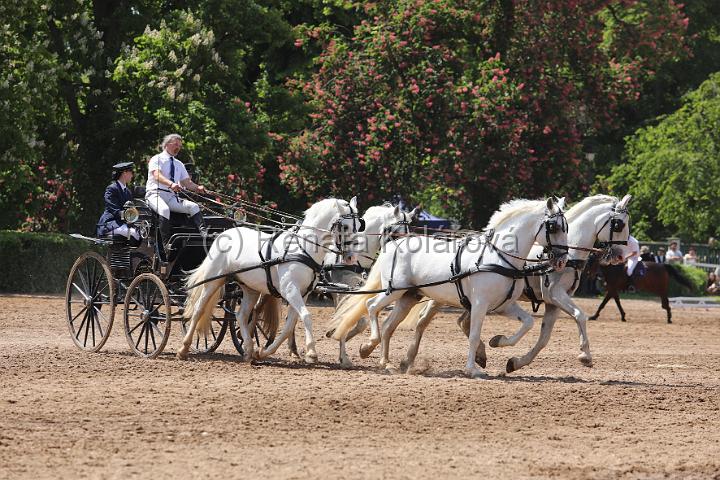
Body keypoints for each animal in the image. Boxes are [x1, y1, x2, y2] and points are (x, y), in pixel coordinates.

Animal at [180, 197, 360, 362]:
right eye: (345, 226)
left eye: (359, 225)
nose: (351, 257)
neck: (302, 248)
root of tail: (224, 233)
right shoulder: (290, 290)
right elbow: (306, 317)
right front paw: (311, 353)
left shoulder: (303, 294)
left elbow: (289, 326)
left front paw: (263, 352)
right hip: (213, 280)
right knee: (199, 309)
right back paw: (184, 348)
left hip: (250, 289)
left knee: (241, 316)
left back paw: (249, 350)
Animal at [332, 197, 568, 376]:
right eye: (554, 227)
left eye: (566, 227)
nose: (562, 260)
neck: (498, 256)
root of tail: (394, 244)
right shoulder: (480, 305)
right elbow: (474, 335)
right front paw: (472, 369)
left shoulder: (504, 306)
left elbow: (527, 323)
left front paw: (498, 342)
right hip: (394, 290)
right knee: (372, 306)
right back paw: (370, 344)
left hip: (409, 296)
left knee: (389, 324)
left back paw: (385, 362)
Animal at [404, 193, 632, 374]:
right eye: (618, 224)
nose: (621, 256)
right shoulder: (555, 294)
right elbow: (580, 315)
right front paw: (585, 355)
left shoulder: (553, 303)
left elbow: (544, 338)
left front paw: (516, 362)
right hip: (443, 295)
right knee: (425, 320)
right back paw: (410, 359)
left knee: (461, 322)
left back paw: (479, 354)